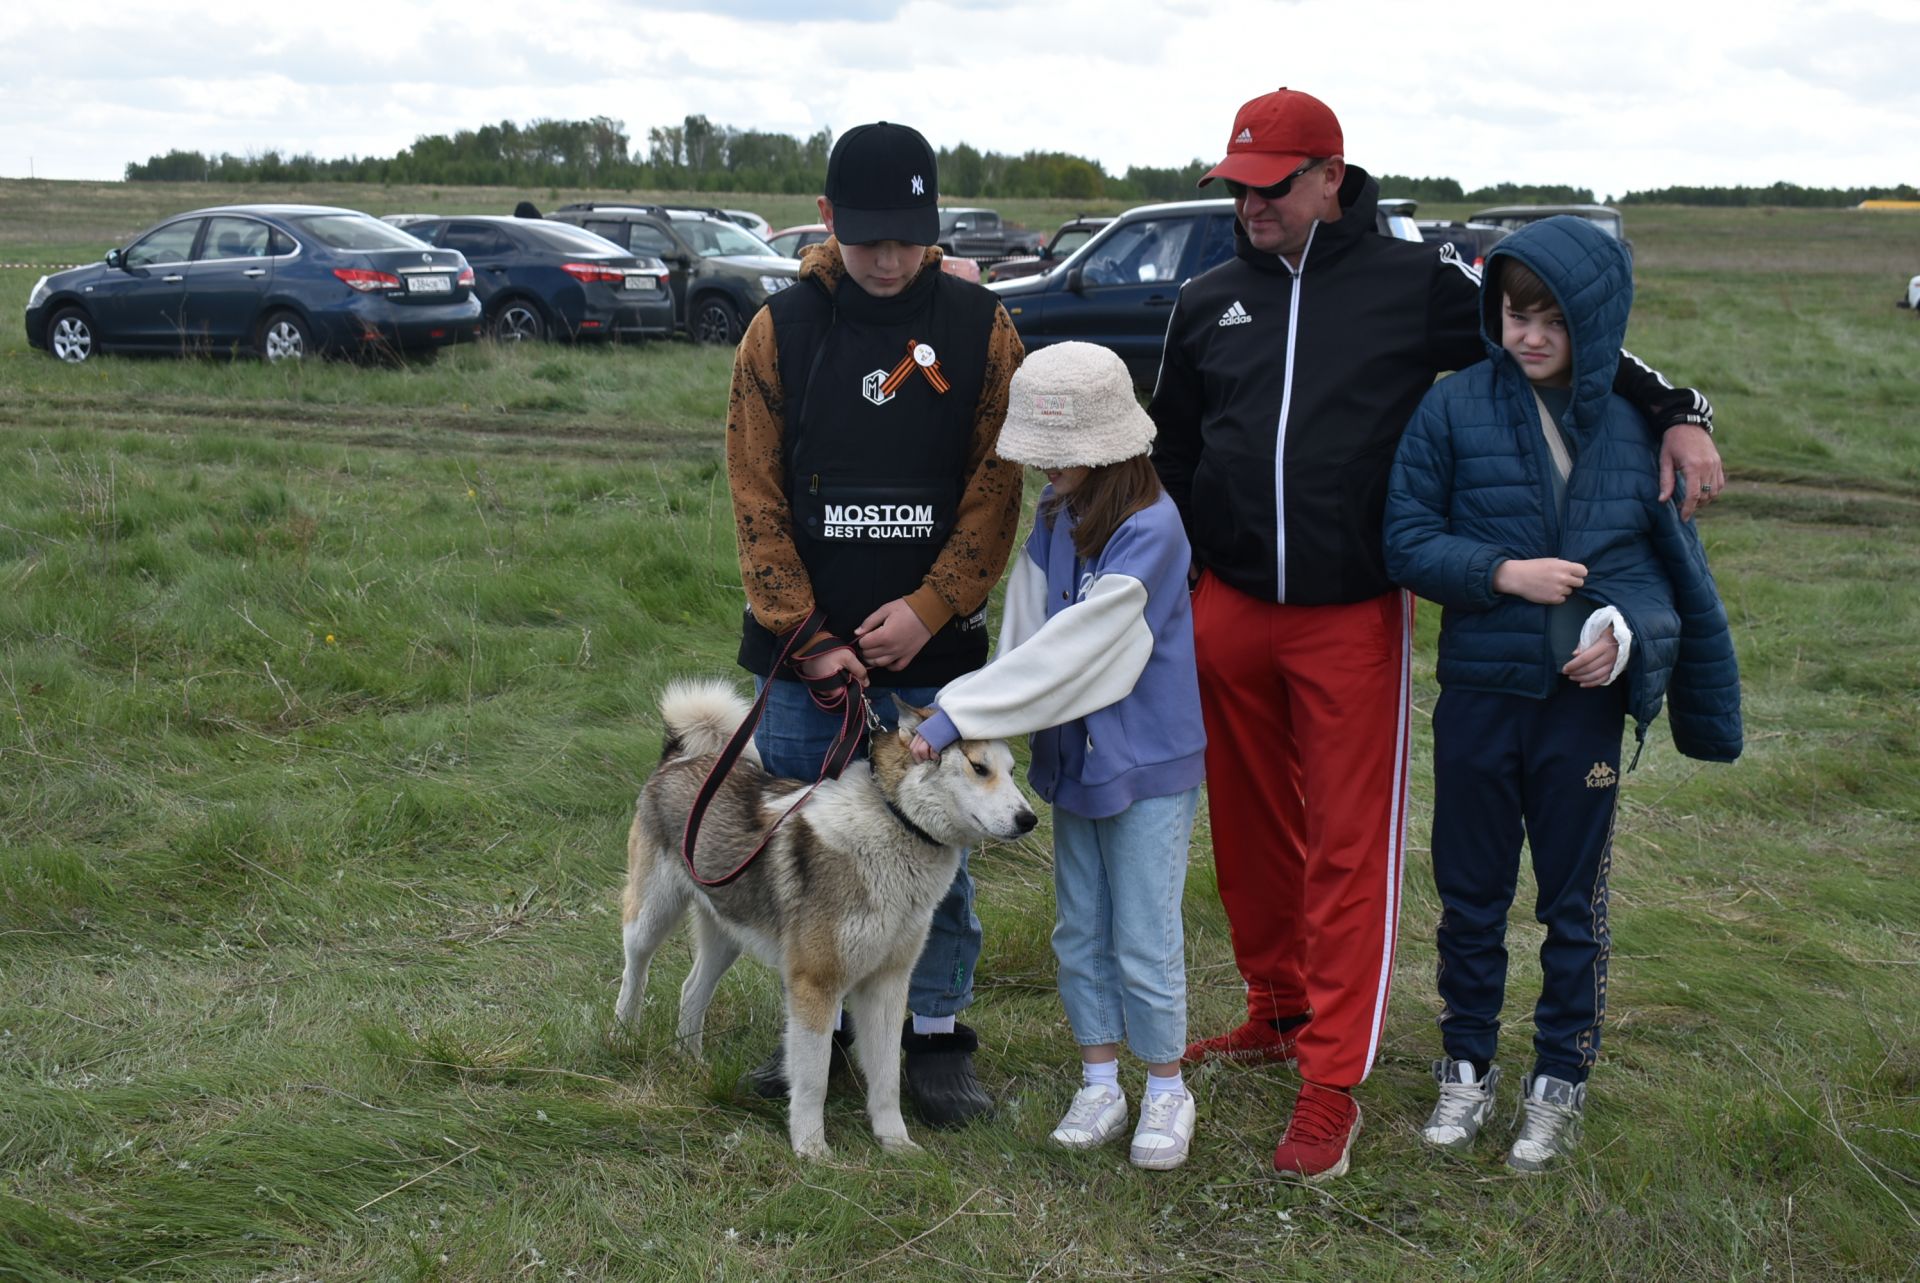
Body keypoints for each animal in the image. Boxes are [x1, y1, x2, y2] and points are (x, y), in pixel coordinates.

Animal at [614, 679, 1036, 1160]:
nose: (1029, 819)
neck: (894, 823)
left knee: (691, 989)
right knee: (635, 971)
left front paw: (896, 1142)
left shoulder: (888, 985)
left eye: (1011, 770)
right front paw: (812, 1150)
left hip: (727, 935)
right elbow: (813, 1078)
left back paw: (691, 1060)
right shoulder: (816, 983)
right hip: (652, 917)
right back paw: (623, 1036)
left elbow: (886, 1080)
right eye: (978, 767)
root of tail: (678, 758)